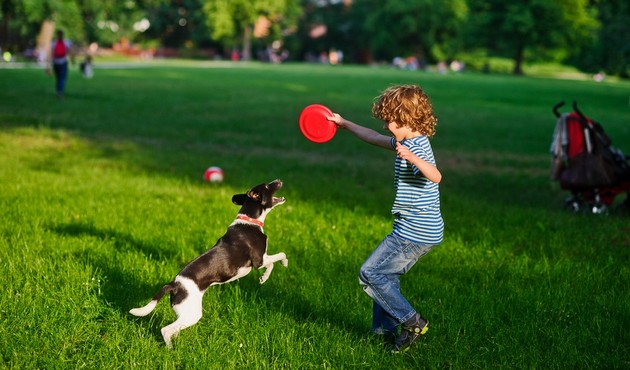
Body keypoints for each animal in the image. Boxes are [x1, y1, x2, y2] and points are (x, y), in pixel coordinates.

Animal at [131, 179, 288, 346]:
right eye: (267, 185)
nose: (278, 180)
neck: (250, 220)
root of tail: (174, 285)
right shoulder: (259, 260)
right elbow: (280, 255)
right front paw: (284, 263)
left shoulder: (262, 260)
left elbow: (271, 264)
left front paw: (263, 278)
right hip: (192, 314)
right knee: (165, 330)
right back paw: (171, 349)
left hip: (185, 313)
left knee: (174, 329)